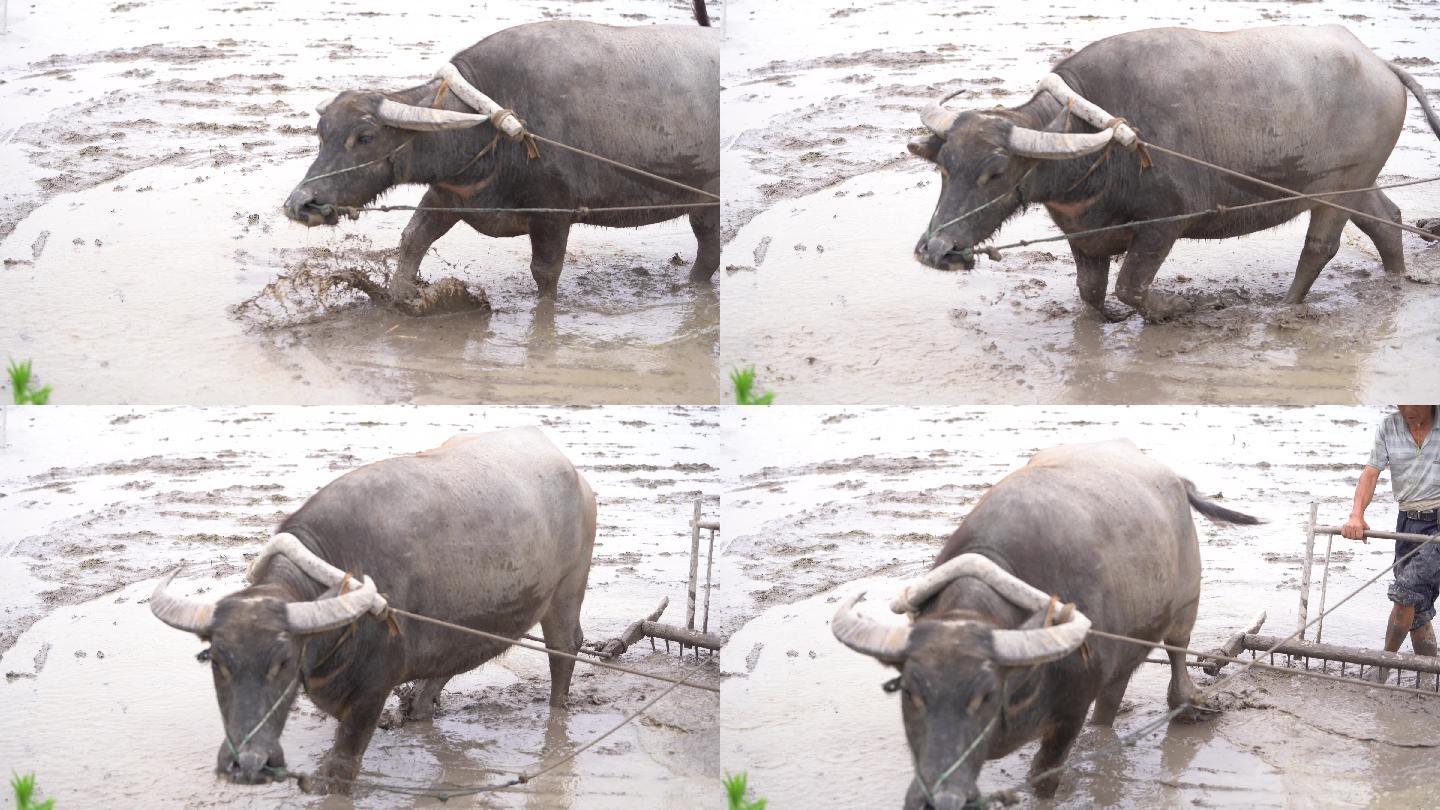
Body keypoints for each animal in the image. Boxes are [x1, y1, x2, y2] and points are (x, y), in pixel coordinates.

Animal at [149, 429, 593, 789]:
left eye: (283, 663)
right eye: (217, 661)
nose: (247, 764)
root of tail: (576, 477)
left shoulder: (370, 696)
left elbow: (341, 770)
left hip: (567, 592)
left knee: (564, 652)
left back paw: (557, 713)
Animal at [286, 21, 720, 308]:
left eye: (365, 137)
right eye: (321, 134)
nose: (301, 203)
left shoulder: (552, 214)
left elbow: (545, 272)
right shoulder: (448, 195)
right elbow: (412, 239)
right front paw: (399, 297)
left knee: (708, 250)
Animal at [835, 438, 1261, 801]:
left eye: (985, 695)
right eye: (910, 692)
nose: (937, 797)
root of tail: (1176, 480)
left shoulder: (1070, 711)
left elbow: (1044, 776)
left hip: (1187, 603)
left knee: (1177, 652)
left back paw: (1189, 705)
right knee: (1111, 698)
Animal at [910, 25, 1440, 321]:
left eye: (996, 172)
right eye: (944, 167)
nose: (936, 250)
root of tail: (1381, 66)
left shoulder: (1162, 226)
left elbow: (1131, 289)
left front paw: (1179, 311)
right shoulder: (1085, 237)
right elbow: (1090, 294)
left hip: (1341, 186)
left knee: (1320, 247)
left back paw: (1285, 309)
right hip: (1354, 183)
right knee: (1386, 219)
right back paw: (1396, 279)